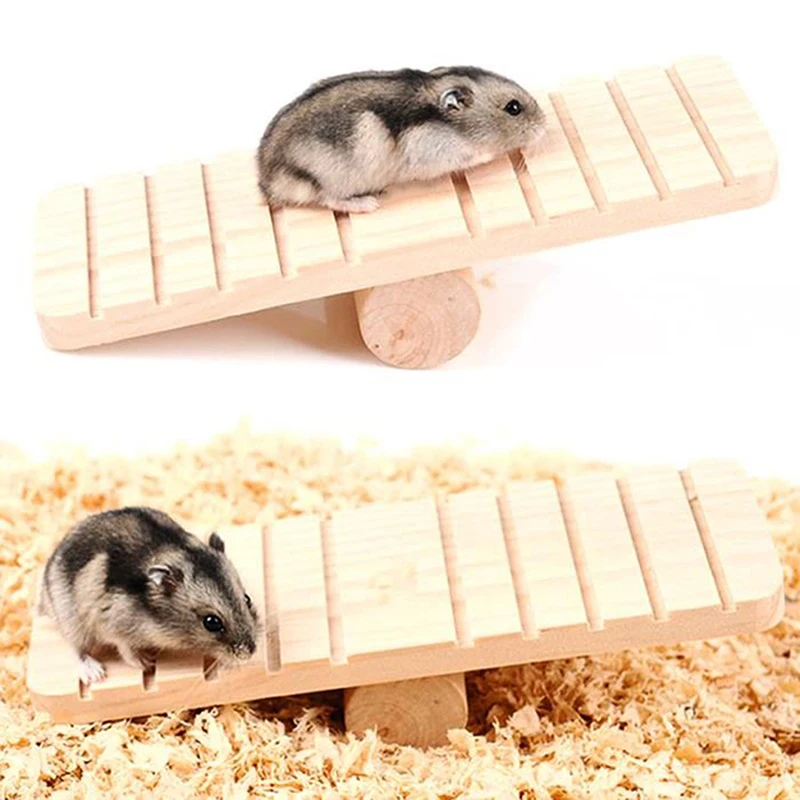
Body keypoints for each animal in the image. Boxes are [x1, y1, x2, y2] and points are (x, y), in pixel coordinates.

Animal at [39, 507, 259, 685]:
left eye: (247, 599)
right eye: (211, 622)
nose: (251, 652)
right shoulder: (113, 627)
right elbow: (126, 650)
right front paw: (147, 662)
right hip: (70, 619)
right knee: (77, 649)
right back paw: (95, 673)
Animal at [257, 66, 546, 213]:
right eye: (513, 108)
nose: (544, 126)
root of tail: (267, 183)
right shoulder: (434, 155)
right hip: (324, 178)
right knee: (328, 199)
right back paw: (369, 203)